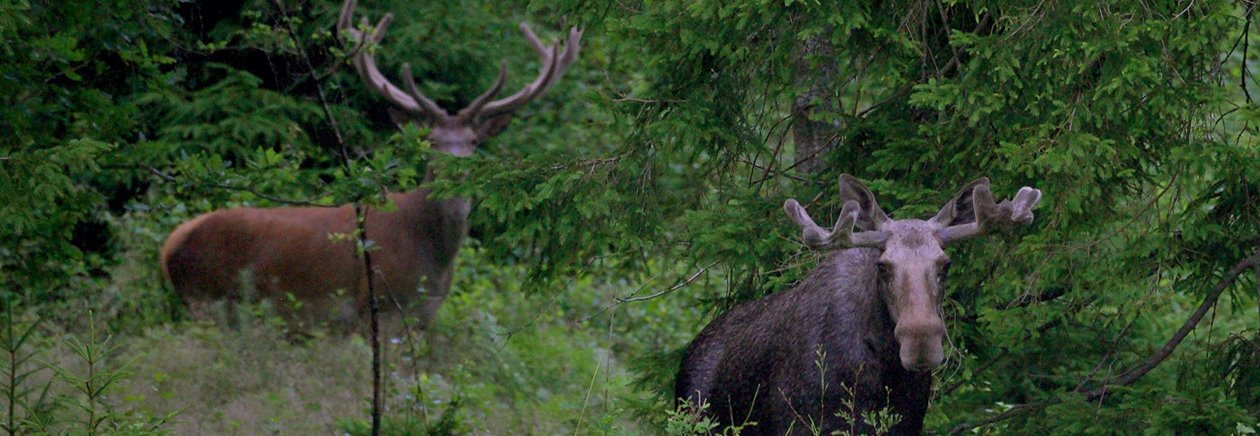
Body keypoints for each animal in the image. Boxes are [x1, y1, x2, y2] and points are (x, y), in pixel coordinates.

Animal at [160, 0, 582, 327]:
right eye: (431, 141)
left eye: (474, 142)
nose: (455, 173)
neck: (433, 260)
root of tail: (168, 247)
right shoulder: (378, 308)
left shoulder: (426, 316)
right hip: (206, 300)